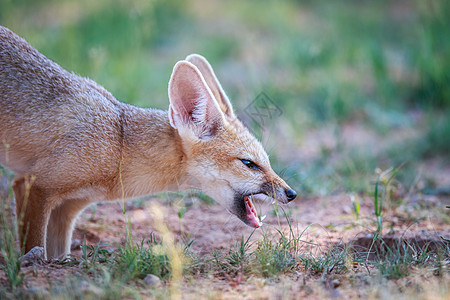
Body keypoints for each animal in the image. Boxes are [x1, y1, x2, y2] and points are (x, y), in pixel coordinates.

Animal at [0, 26, 298, 260]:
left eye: (267, 162)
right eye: (249, 164)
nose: (292, 193)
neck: (119, 144)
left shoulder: (67, 208)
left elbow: (57, 254)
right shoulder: (33, 186)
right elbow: (34, 246)